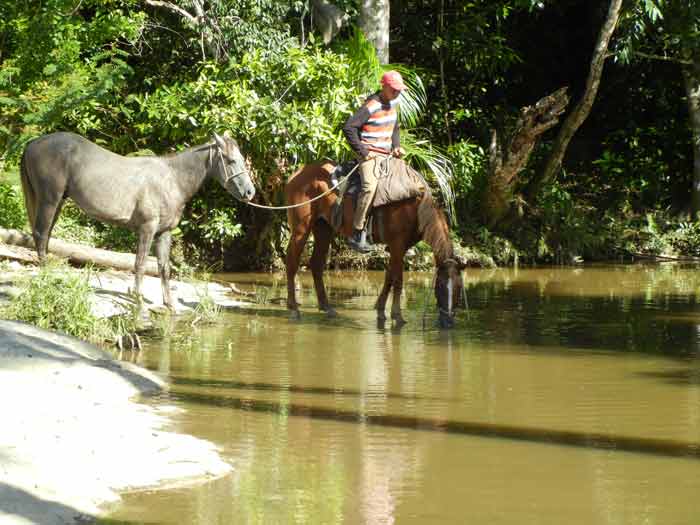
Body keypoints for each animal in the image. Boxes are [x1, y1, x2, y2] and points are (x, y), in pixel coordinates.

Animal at [19, 131, 258, 310]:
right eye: (231, 160)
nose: (250, 192)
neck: (172, 180)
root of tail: (33, 143)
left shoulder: (163, 233)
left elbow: (164, 268)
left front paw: (169, 304)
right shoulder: (147, 229)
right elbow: (140, 264)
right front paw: (138, 298)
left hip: (57, 202)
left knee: (45, 236)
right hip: (49, 199)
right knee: (41, 234)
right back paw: (47, 275)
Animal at [284, 161, 464, 328]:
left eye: (459, 288)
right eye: (440, 286)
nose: (448, 321)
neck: (414, 210)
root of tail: (297, 175)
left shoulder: (399, 247)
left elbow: (389, 276)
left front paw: (381, 310)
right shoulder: (397, 245)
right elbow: (398, 280)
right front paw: (397, 315)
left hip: (323, 228)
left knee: (316, 264)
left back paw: (326, 307)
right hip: (301, 229)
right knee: (292, 262)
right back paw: (294, 309)